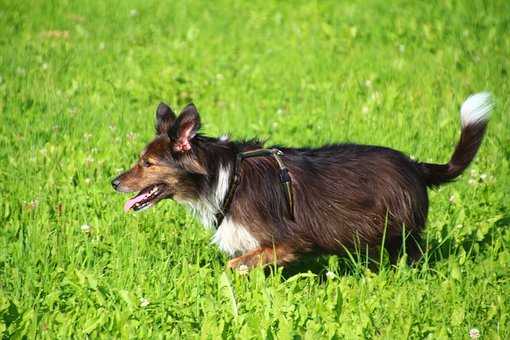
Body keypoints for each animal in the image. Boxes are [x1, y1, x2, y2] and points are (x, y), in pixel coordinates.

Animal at [110, 92, 490, 268]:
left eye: (147, 163)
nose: (113, 182)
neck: (224, 176)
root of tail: (415, 165)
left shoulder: (292, 241)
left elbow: (235, 265)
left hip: (397, 231)